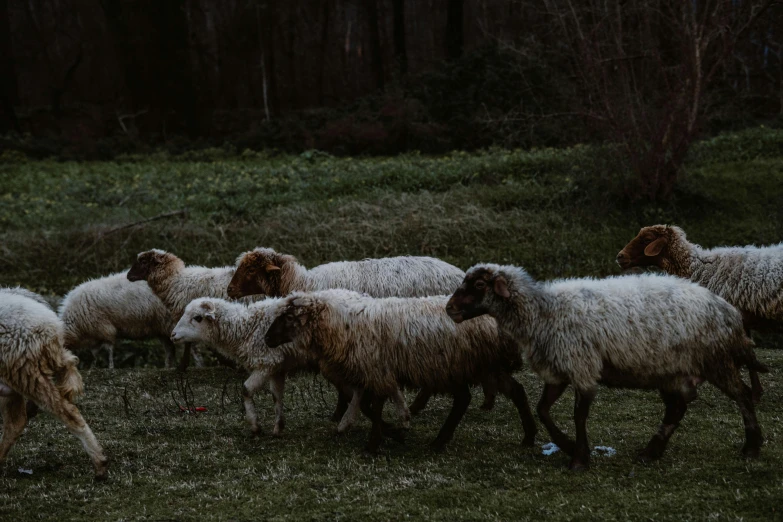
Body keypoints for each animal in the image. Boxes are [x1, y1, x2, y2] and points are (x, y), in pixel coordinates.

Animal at [0, 286, 110, 478]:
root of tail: (54, 327)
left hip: (25, 371)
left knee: (68, 412)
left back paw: (99, 463)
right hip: (15, 376)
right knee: (16, 422)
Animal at [264, 288, 540, 450]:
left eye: (287, 318)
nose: (266, 339)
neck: (342, 325)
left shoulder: (376, 370)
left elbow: (374, 407)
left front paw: (375, 444)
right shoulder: (373, 374)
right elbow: (368, 406)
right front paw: (394, 433)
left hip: (463, 365)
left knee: (467, 399)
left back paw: (440, 441)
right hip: (477, 366)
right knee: (510, 392)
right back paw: (527, 437)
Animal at [444, 262, 768, 470]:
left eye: (479, 284)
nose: (449, 309)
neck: (544, 311)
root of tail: (729, 311)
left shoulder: (582, 366)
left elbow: (579, 416)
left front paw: (578, 459)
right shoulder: (559, 369)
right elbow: (543, 410)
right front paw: (568, 446)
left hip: (715, 360)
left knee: (742, 395)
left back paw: (752, 447)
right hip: (670, 370)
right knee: (677, 409)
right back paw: (651, 452)